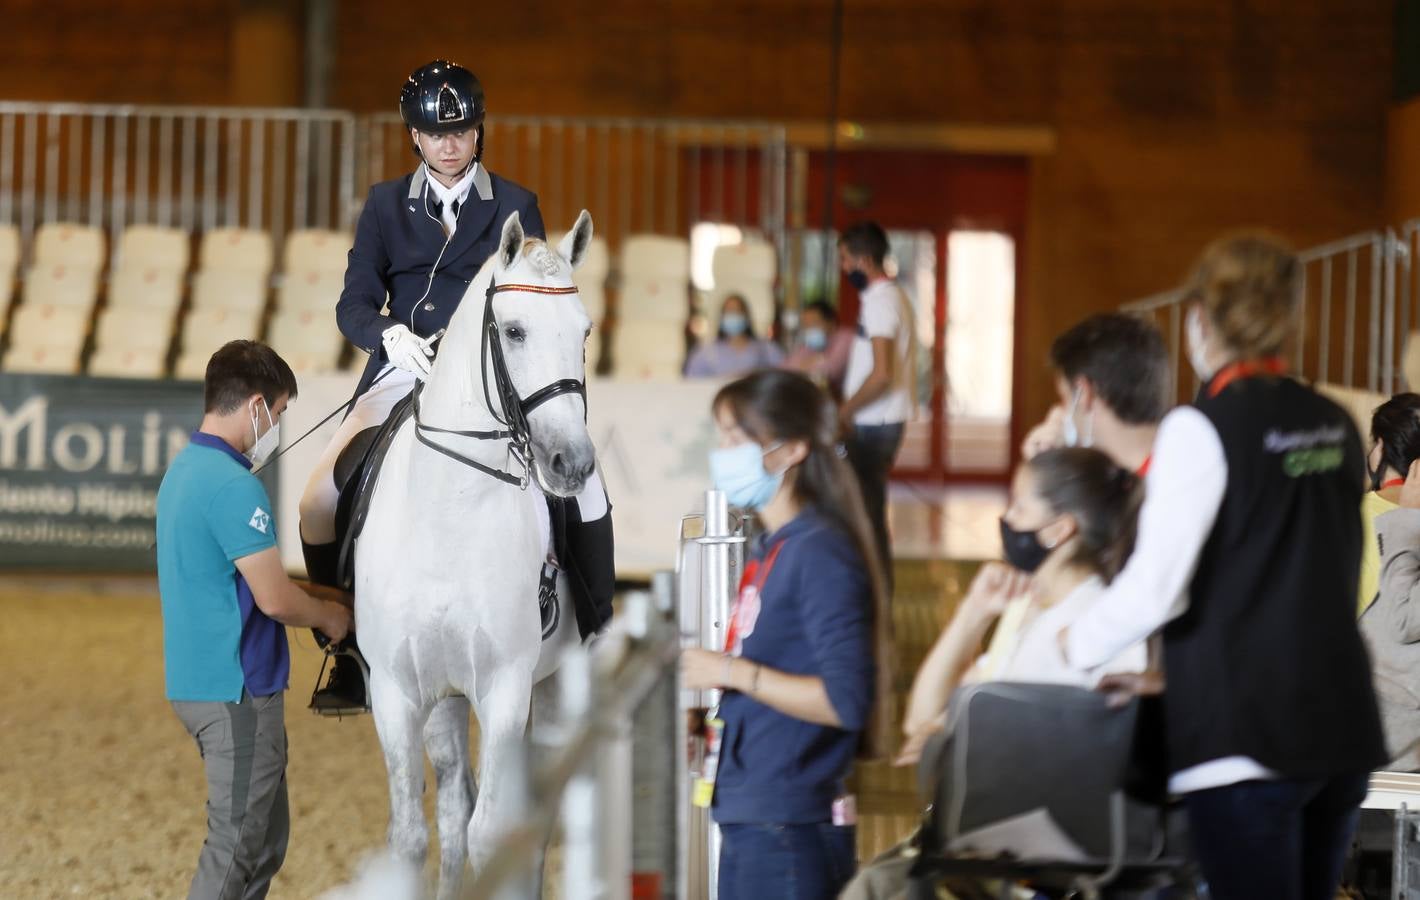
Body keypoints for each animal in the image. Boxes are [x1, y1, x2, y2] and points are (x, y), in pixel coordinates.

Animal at [360, 208, 599, 891]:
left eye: (585, 332)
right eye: (514, 331)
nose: (572, 465)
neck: (449, 512)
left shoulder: (506, 688)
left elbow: (493, 833)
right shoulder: (396, 691)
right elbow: (412, 836)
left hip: (551, 689)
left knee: (528, 822)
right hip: (442, 697)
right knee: (452, 804)